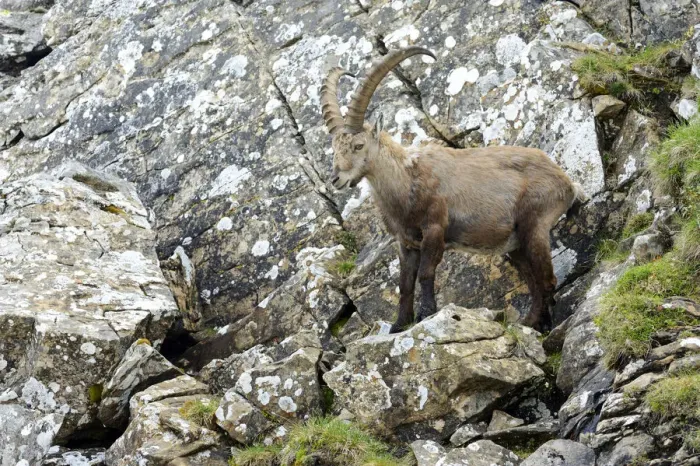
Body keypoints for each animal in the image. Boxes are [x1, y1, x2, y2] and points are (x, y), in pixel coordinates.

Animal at [320, 47, 586, 333]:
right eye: (334, 148)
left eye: (358, 145)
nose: (335, 179)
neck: (406, 183)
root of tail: (566, 181)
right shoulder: (406, 242)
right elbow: (404, 284)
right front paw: (399, 325)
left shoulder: (435, 228)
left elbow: (426, 274)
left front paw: (427, 314)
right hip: (515, 244)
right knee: (534, 282)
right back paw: (530, 323)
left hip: (535, 224)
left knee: (547, 280)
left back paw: (544, 325)